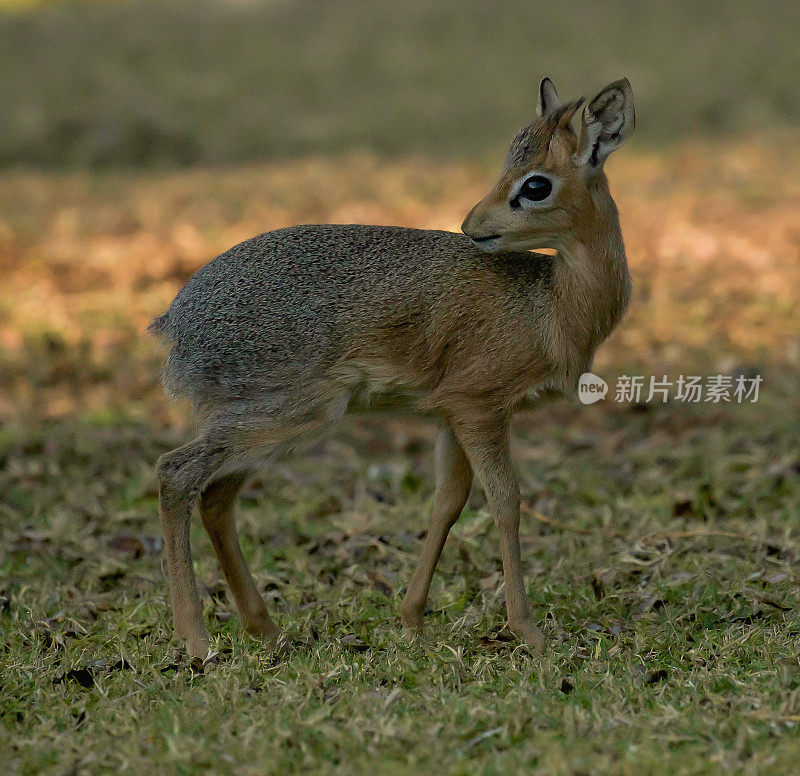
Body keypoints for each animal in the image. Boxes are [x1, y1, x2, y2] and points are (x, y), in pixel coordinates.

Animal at [153, 79, 636, 656]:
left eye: (535, 182)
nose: (472, 226)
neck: (552, 305)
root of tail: (175, 321)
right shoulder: (480, 406)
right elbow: (506, 500)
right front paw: (529, 630)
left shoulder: (452, 415)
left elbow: (447, 502)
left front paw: (411, 619)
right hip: (290, 415)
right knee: (176, 473)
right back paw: (196, 639)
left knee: (215, 498)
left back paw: (264, 628)